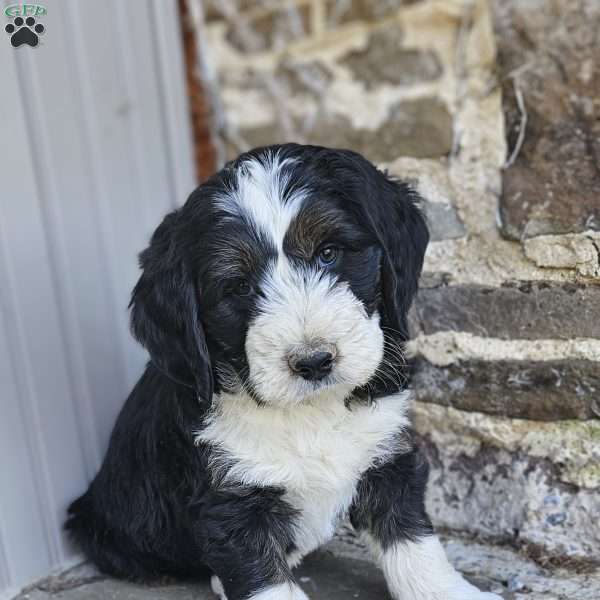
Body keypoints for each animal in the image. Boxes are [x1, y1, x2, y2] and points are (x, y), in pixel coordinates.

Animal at [65, 145, 500, 600]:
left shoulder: (386, 456)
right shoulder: (232, 506)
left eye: (328, 253)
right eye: (238, 286)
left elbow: (413, 544)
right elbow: (266, 579)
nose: (314, 361)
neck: (311, 412)